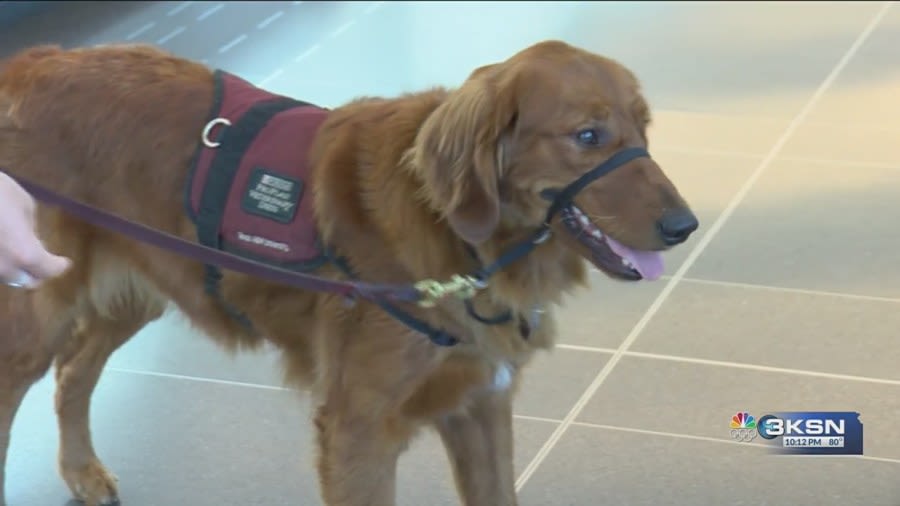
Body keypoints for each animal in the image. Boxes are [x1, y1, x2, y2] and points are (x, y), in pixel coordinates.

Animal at [0, 40, 696, 506]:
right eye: (587, 135)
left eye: (643, 127)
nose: (684, 226)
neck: (459, 240)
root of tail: (25, 63)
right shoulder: (359, 430)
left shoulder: (481, 402)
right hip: (32, 316)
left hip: (132, 290)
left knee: (73, 373)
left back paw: (81, 471)